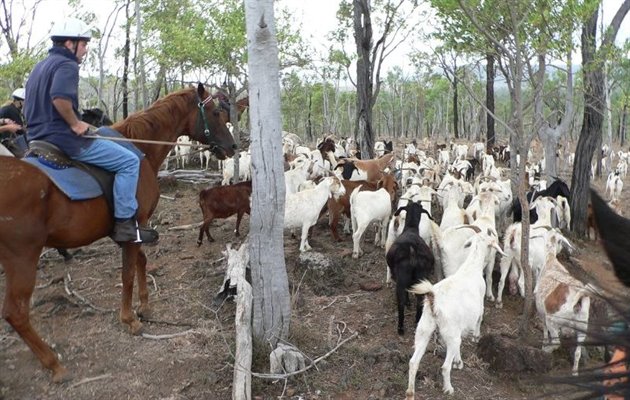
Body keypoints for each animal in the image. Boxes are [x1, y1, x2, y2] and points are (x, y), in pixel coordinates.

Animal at [0, 83, 236, 382]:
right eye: (216, 112)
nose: (233, 146)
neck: (140, 148)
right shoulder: (135, 225)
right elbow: (127, 274)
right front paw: (130, 319)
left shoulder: (134, 229)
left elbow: (141, 262)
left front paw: (144, 306)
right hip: (23, 258)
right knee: (15, 312)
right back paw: (53, 364)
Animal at [386, 200, 434, 334]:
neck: (411, 228)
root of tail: (412, 250)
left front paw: (408, 303)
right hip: (421, 277)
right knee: (420, 300)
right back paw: (417, 320)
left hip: (401, 280)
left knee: (401, 302)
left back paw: (400, 328)